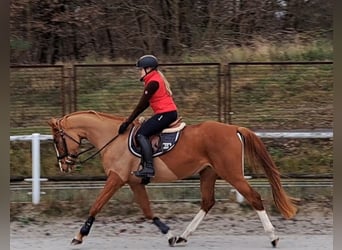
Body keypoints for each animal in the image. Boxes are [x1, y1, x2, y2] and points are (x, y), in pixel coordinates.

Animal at [47, 110, 296, 248]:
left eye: (57, 140)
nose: (63, 165)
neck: (113, 138)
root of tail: (233, 127)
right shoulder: (134, 182)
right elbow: (148, 212)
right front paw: (169, 234)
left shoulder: (116, 179)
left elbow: (96, 205)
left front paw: (79, 235)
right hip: (208, 173)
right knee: (207, 202)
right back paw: (183, 236)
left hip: (232, 174)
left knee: (254, 198)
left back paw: (273, 237)